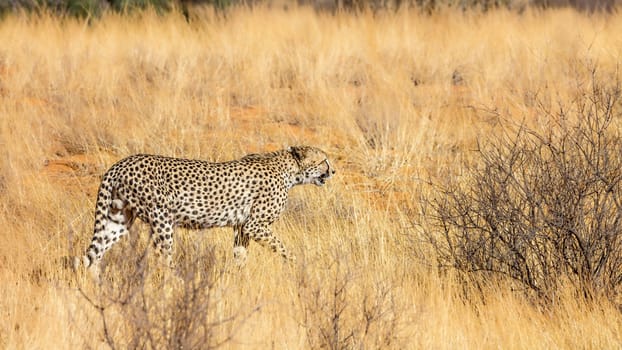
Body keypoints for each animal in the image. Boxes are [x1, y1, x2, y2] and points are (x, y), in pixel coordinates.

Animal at [77, 146, 336, 278]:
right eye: (324, 160)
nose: (333, 171)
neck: (290, 170)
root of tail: (119, 164)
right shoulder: (255, 225)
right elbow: (283, 249)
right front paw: (298, 265)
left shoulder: (242, 227)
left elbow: (240, 255)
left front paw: (239, 279)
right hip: (162, 219)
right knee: (163, 258)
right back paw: (175, 283)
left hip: (117, 220)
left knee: (93, 257)